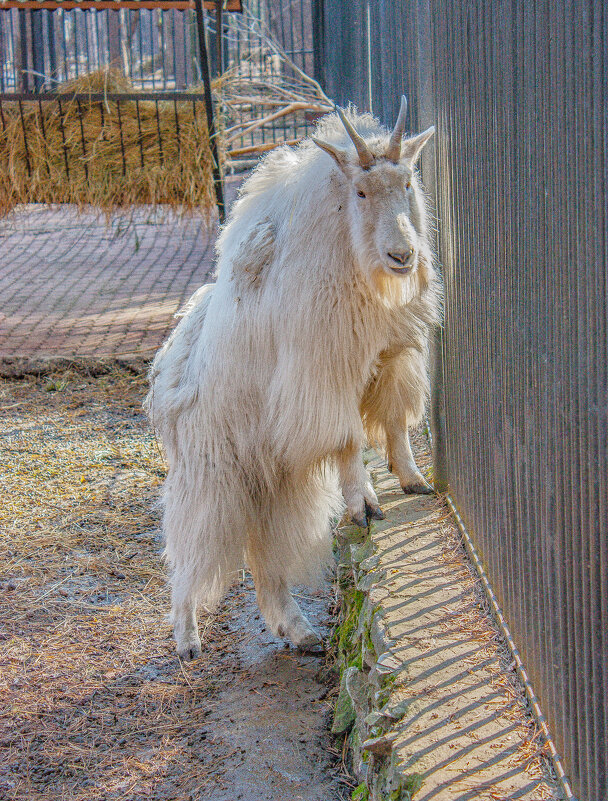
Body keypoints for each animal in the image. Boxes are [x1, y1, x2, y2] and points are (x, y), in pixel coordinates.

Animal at [147, 97, 442, 656]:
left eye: (408, 182)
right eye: (361, 190)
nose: (402, 256)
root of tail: (165, 374)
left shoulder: (389, 360)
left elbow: (395, 423)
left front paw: (414, 480)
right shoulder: (322, 377)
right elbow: (349, 441)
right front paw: (364, 506)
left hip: (269, 479)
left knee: (265, 551)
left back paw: (298, 630)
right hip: (212, 475)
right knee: (189, 550)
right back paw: (186, 636)